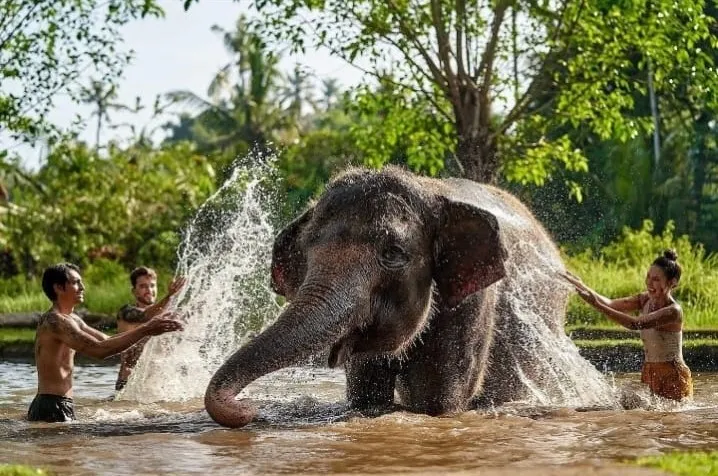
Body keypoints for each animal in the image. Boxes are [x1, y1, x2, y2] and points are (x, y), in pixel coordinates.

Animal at [204, 166, 576, 428]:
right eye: (306, 249)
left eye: (394, 254)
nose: (248, 408)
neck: (430, 188)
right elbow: (367, 393)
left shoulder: (474, 303)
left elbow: (436, 401)